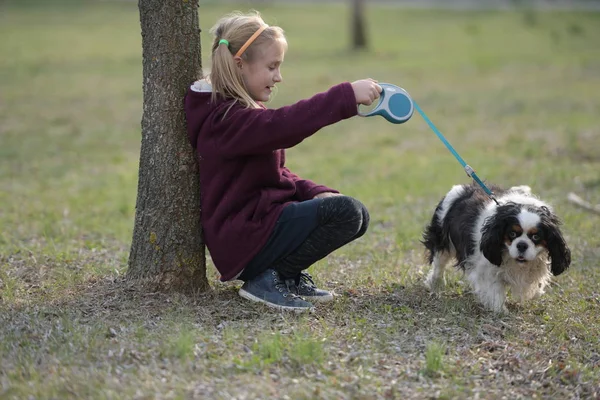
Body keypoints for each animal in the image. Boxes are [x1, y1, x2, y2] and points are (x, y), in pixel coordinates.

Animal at [422, 184, 572, 312]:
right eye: (512, 234)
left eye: (536, 237)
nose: (522, 245)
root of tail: (464, 187)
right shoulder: (486, 268)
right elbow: (495, 288)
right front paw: (500, 309)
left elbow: (535, 286)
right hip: (442, 240)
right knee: (439, 265)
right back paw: (436, 284)